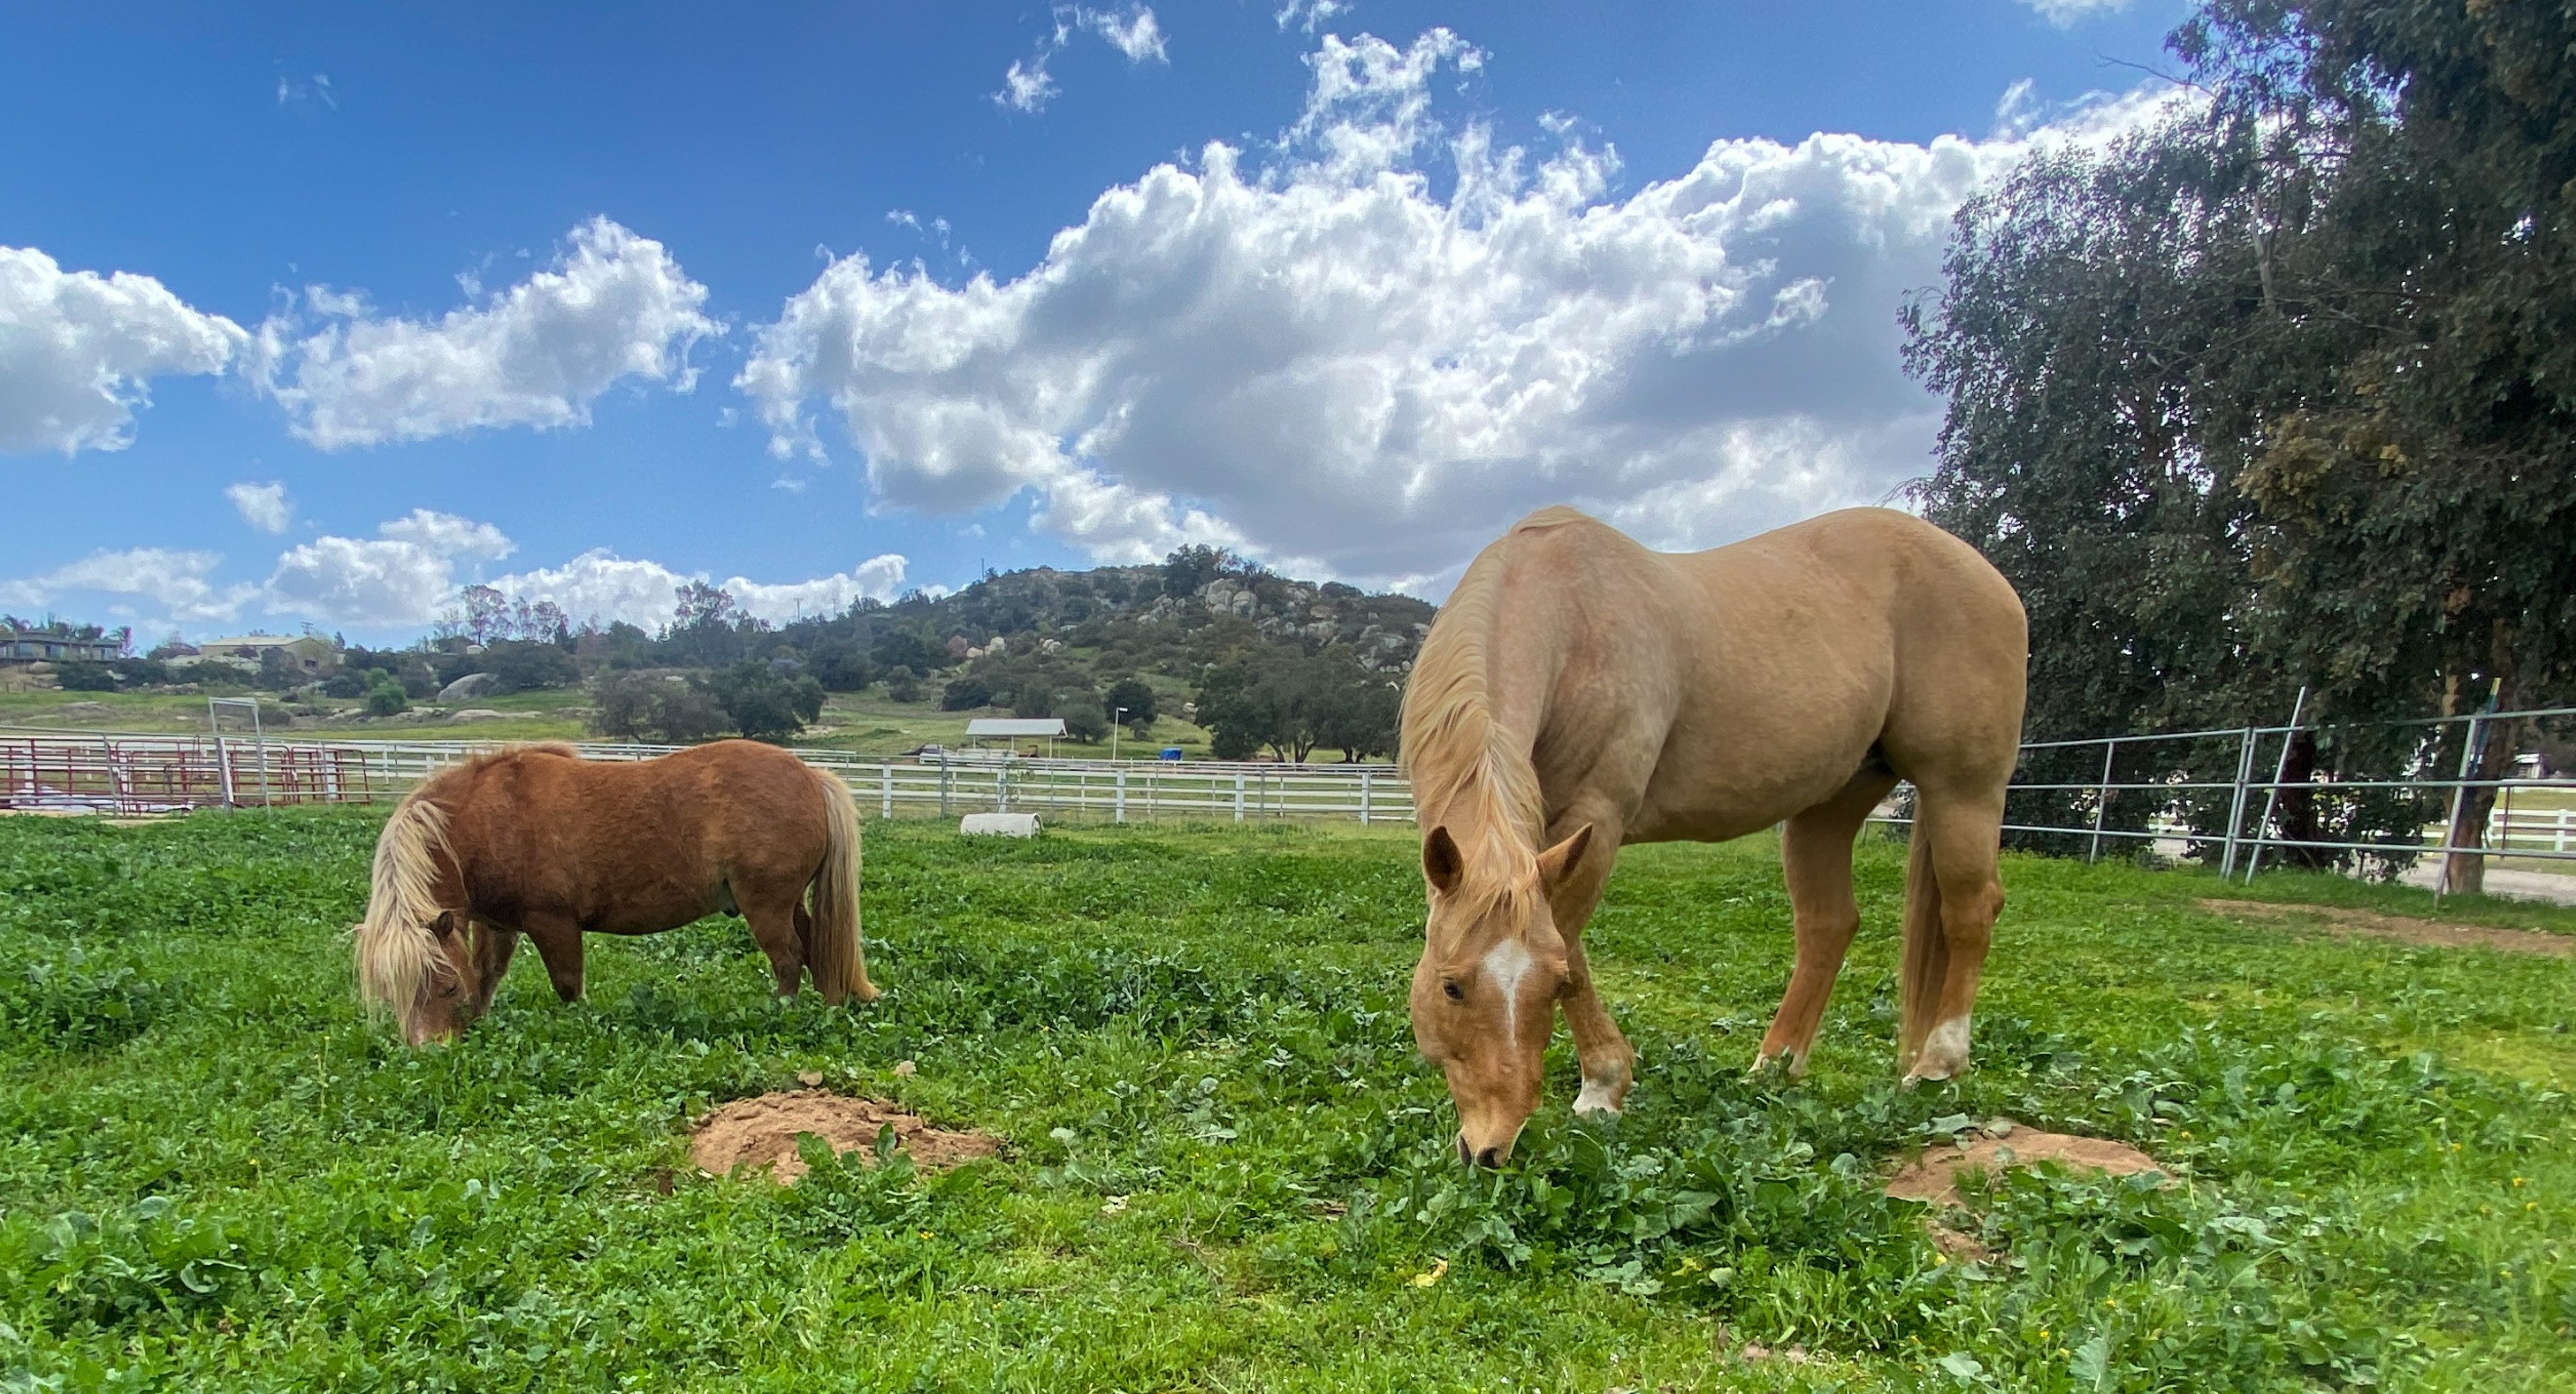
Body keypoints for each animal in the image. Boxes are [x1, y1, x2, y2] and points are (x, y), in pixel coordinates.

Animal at [355, 740, 875, 1045]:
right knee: (817, 948)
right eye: (394, 994)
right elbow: (486, 977)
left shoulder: (553, 924)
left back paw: (782, 1014)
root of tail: (811, 776)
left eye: (444, 987)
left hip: (765, 906)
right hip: (790, 904)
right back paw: (831, 1008)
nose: (431, 1053)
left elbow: (568, 987)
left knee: (789, 958)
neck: (487, 818)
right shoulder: (496, 925)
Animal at [1400, 505, 2026, 1166]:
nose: (1493, 1148)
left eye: (1553, 986)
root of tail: (1987, 576)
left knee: (1970, 912)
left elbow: (1569, 942)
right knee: (1829, 925)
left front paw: (1603, 1085)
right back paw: (1774, 1066)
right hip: (1830, 805)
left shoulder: (1597, 819)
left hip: (1962, 788)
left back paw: (1938, 1062)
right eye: (1451, 986)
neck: (1574, 621)